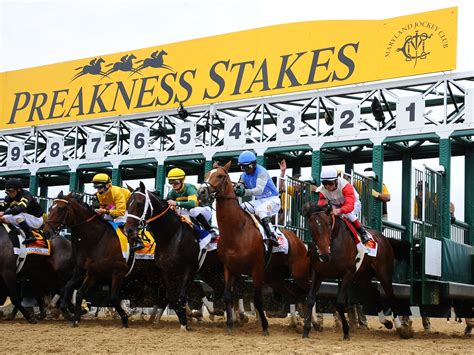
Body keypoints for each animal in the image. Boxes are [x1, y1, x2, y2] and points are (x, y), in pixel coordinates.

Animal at [42, 192, 130, 328]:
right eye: (51, 208)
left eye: (61, 209)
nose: (46, 232)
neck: (98, 239)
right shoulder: (90, 272)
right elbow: (74, 291)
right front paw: (74, 316)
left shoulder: (117, 271)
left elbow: (113, 298)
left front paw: (125, 318)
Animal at [197, 162, 312, 336]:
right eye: (206, 175)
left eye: (220, 176)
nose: (201, 192)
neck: (237, 230)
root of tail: (298, 241)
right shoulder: (229, 269)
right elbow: (227, 296)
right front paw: (229, 325)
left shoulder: (256, 268)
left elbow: (257, 299)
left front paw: (264, 326)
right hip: (274, 277)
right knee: (294, 295)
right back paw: (299, 323)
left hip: (299, 273)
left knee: (308, 293)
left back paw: (311, 323)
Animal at [302, 202, 412, 340]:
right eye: (311, 226)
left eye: (328, 224)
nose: (324, 255)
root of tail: (385, 239)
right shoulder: (318, 273)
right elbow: (310, 299)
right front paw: (306, 330)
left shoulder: (348, 273)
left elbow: (339, 303)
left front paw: (346, 331)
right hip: (362, 277)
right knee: (375, 293)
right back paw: (386, 322)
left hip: (384, 274)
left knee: (391, 296)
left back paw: (400, 327)